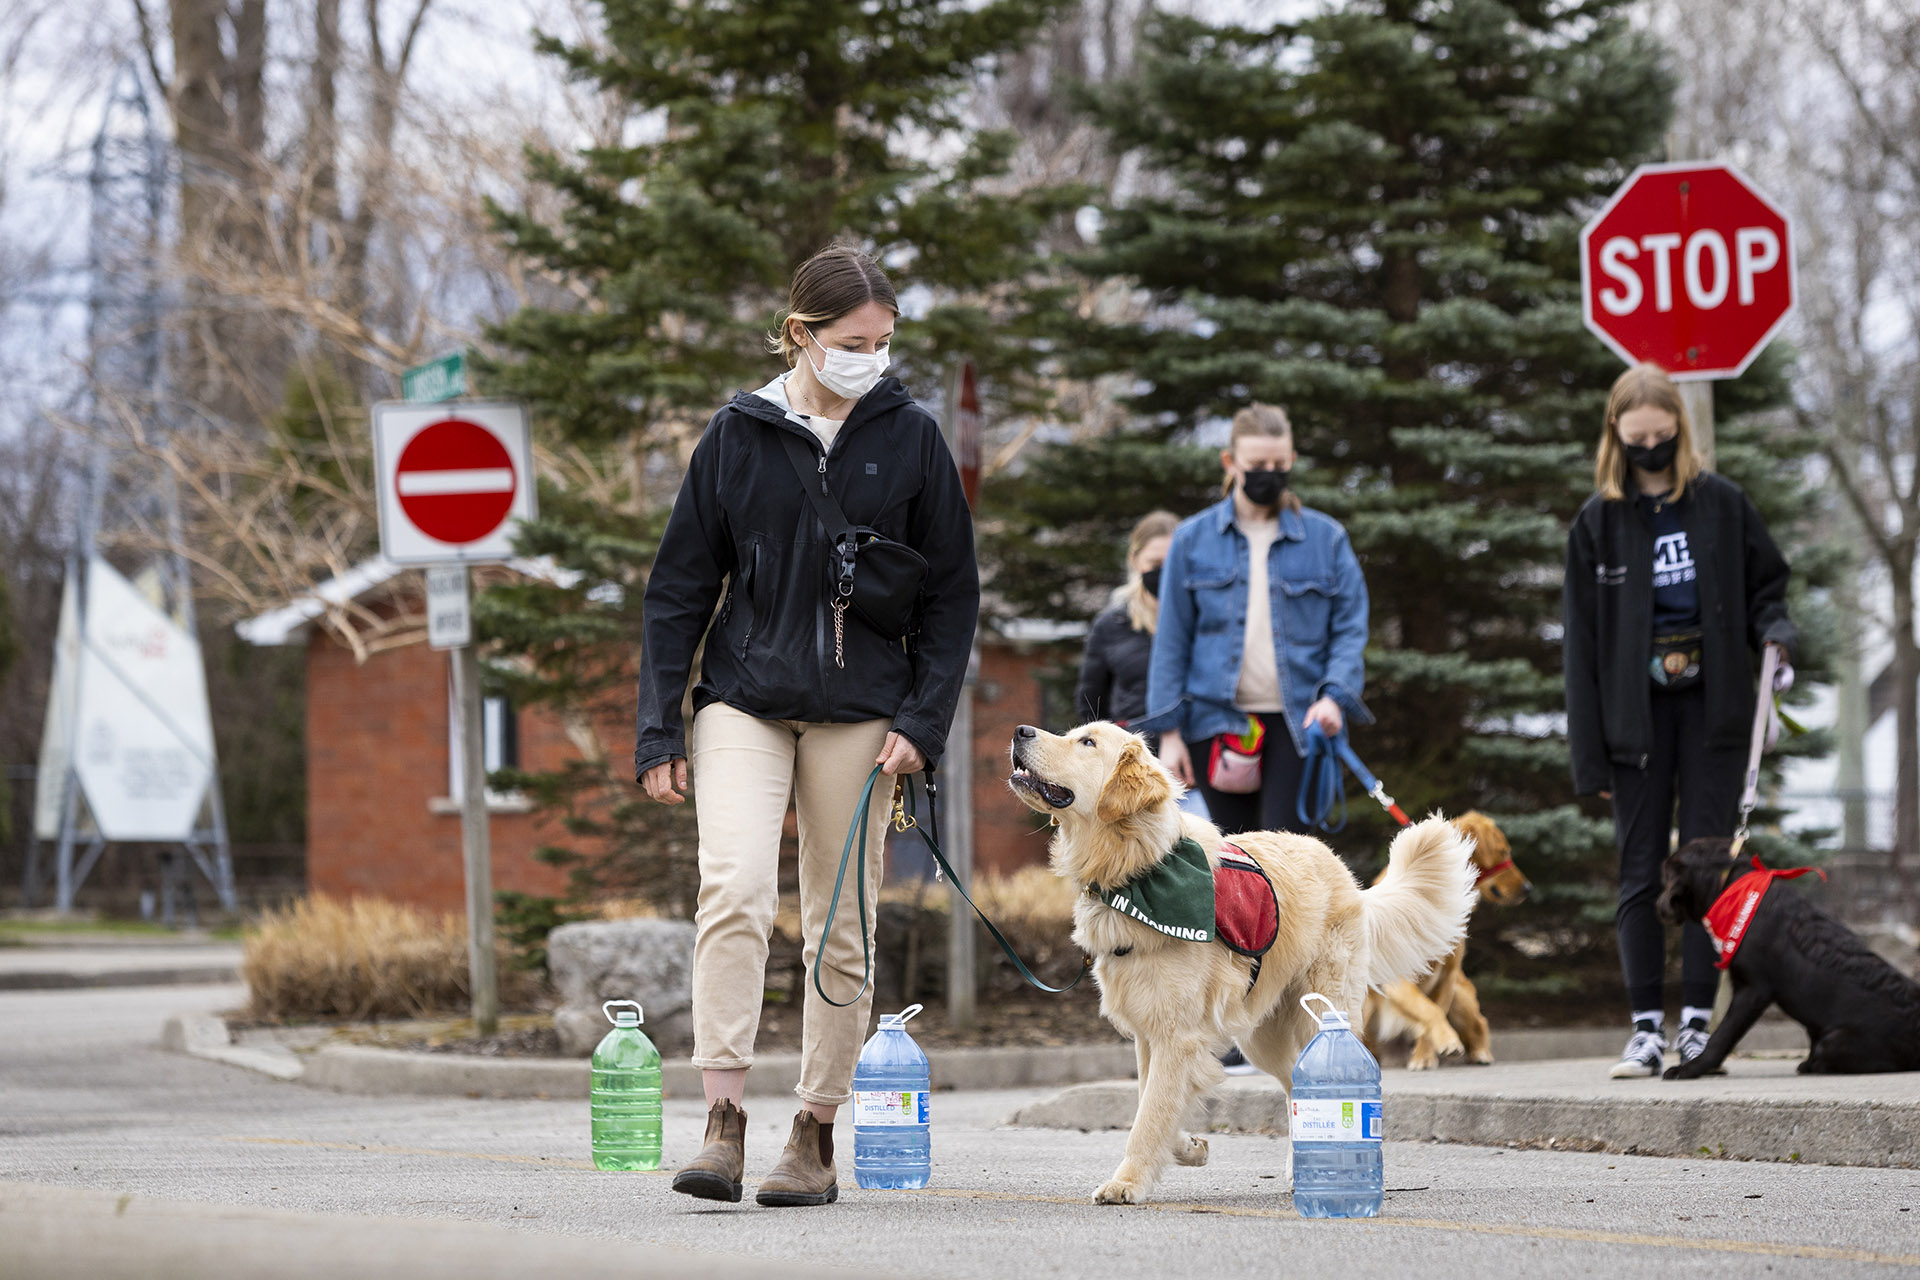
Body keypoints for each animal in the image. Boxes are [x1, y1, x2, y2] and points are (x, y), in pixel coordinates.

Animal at [1651, 840, 1920, 1082]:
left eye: (1665, 877)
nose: (1659, 905)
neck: (1729, 887)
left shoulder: (1753, 990)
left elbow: (1721, 1036)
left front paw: (1691, 1068)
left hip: (1834, 1040)